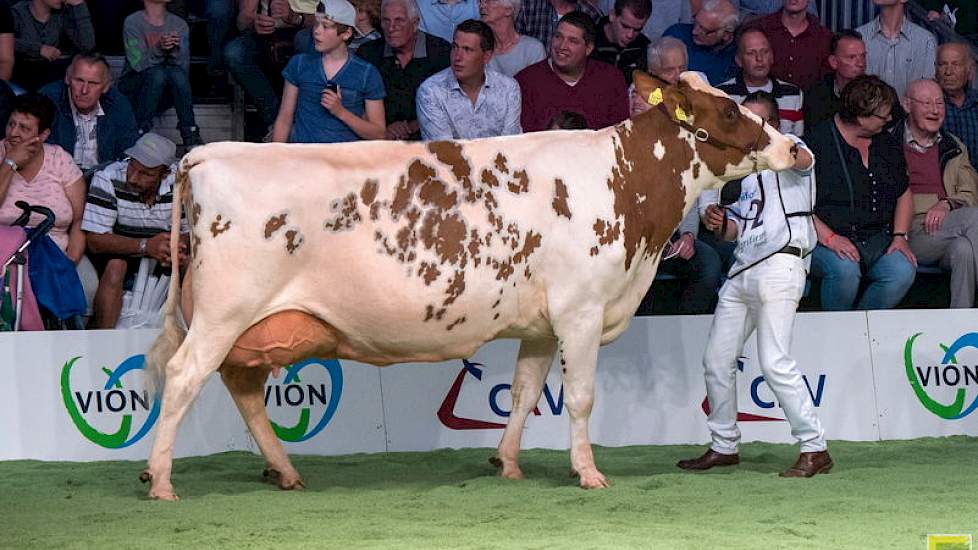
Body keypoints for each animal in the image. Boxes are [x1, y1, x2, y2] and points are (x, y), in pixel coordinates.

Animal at [141, 72, 796, 500]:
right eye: (729, 112)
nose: (795, 146)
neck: (623, 184)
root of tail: (208, 153)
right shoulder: (581, 310)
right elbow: (580, 398)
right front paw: (588, 473)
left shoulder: (541, 324)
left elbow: (527, 393)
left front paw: (507, 464)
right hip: (225, 310)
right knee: (184, 376)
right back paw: (162, 479)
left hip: (249, 324)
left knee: (243, 387)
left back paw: (284, 471)